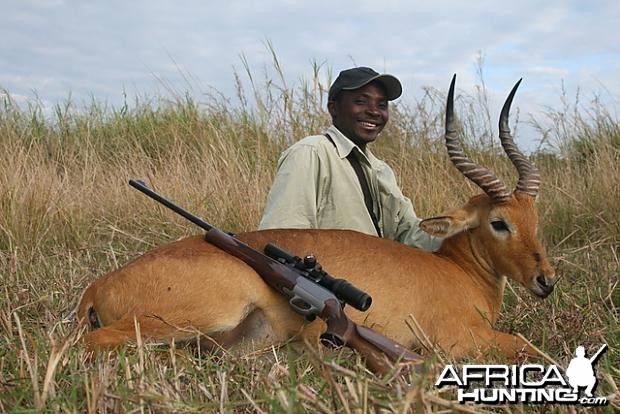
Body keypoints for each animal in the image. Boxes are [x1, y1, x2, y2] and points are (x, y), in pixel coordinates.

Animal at [75, 76, 556, 360]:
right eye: (499, 222)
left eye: (535, 216)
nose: (546, 280)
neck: (456, 271)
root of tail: (100, 284)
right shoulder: (456, 341)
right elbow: (530, 346)